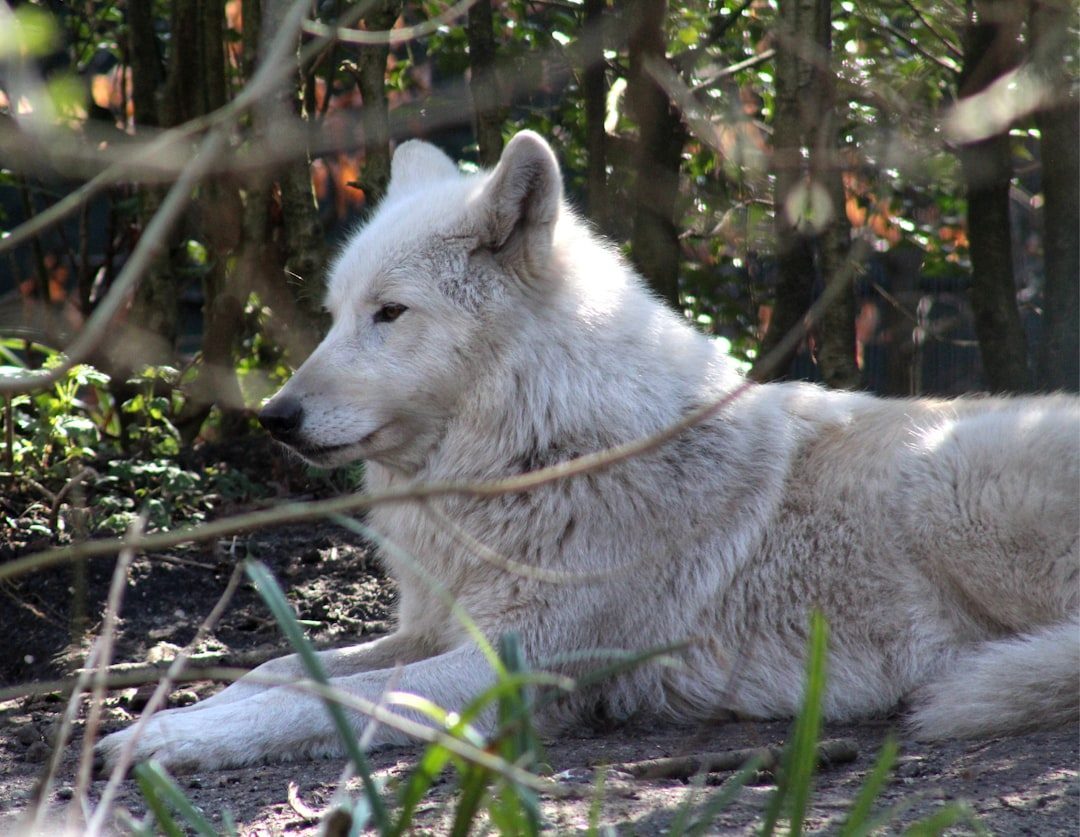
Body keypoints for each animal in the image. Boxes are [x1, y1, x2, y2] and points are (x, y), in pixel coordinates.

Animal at [96, 131, 1079, 773]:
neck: (538, 453)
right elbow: (276, 668)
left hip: (945, 481)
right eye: (337, 315)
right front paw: (176, 713)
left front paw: (156, 740)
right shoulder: (438, 627)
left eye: (390, 314)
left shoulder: (504, 663)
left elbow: (321, 696)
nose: (275, 416)